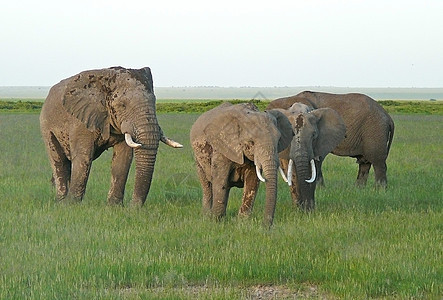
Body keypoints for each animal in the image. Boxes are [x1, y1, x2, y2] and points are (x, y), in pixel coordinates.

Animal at [39, 66, 182, 205]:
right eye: (123, 105)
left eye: (154, 103)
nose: (133, 207)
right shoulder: (81, 121)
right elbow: (83, 156)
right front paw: (72, 206)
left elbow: (123, 158)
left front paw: (114, 207)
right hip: (46, 125)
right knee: (59, 161)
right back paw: (61, 202)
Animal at [268, 91, 398, 188]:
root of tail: (389, 118)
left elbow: (316, 158)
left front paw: (319, 189)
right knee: (365, 163)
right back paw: (359, 189)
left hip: (375, 130)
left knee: (377, 162)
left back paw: (379, 190)